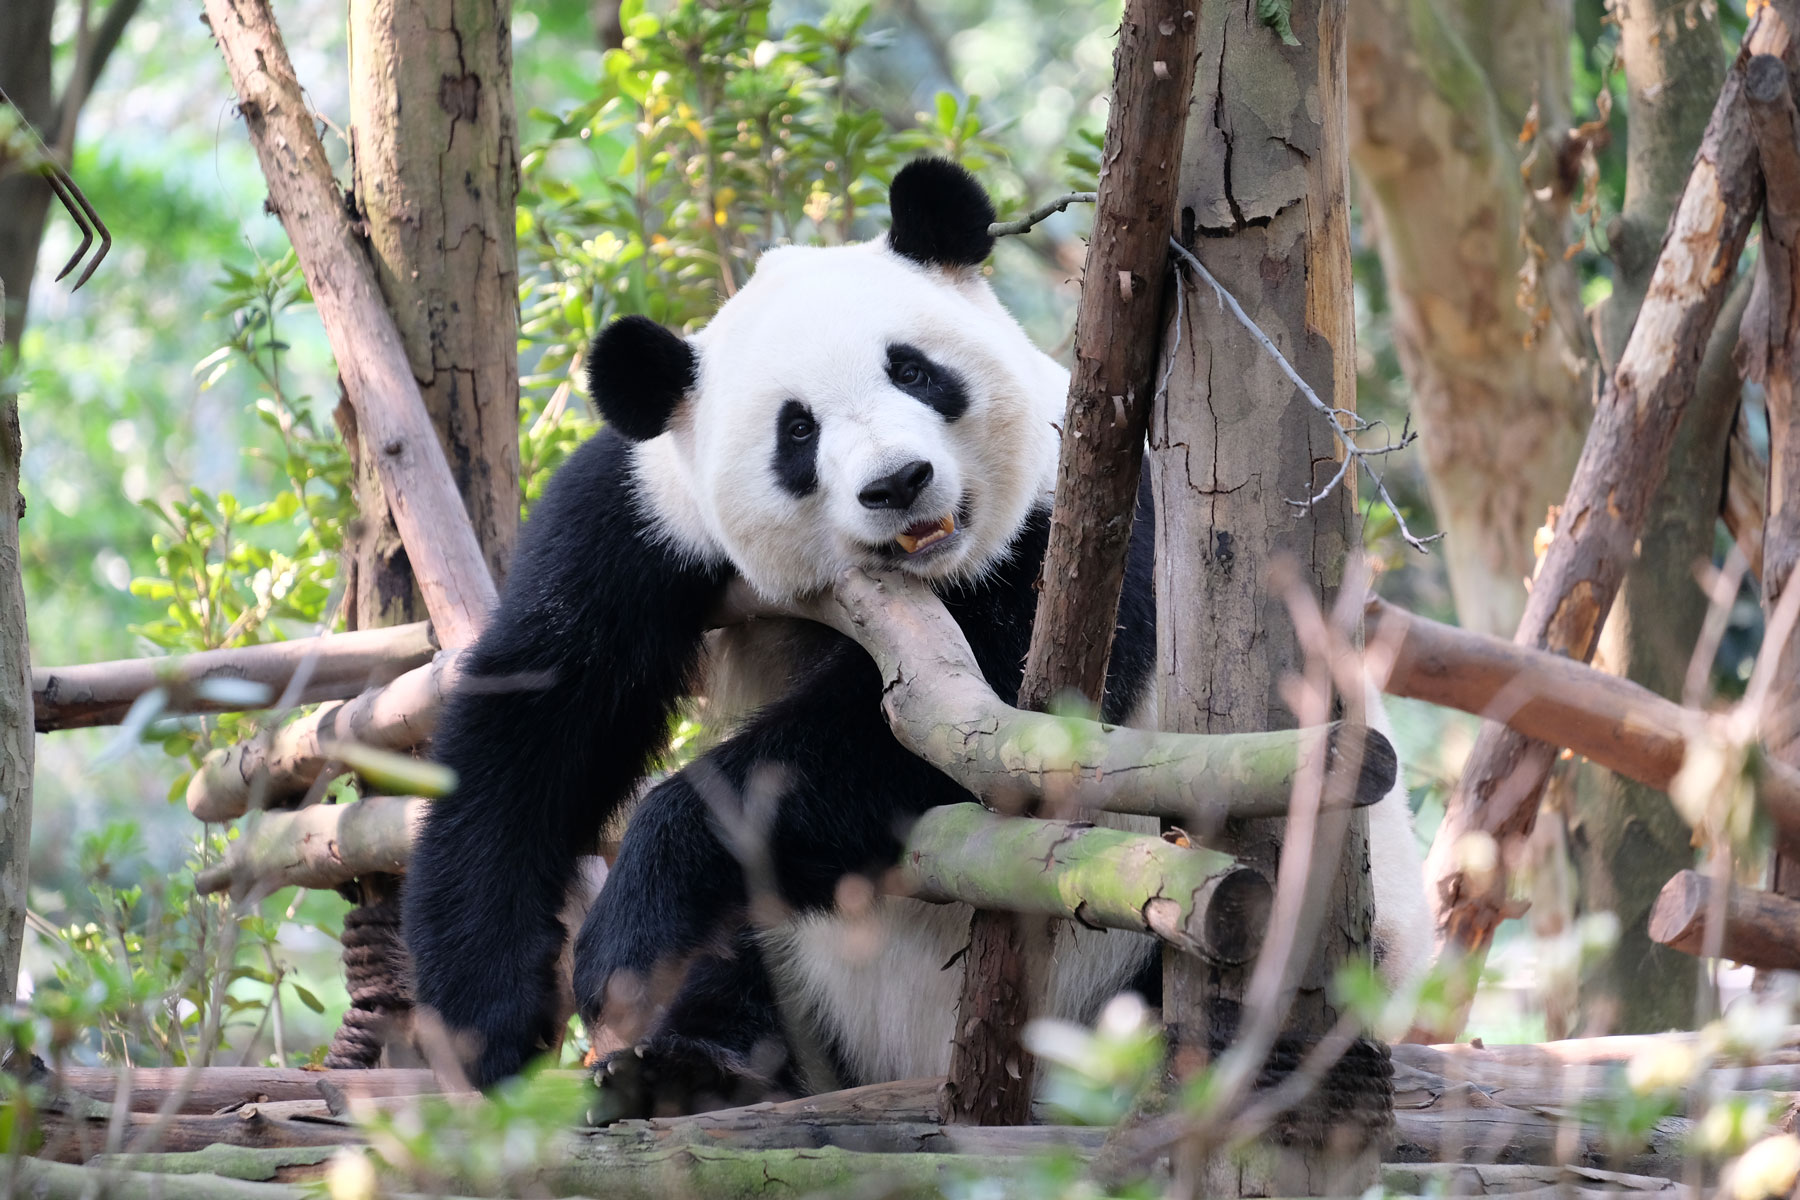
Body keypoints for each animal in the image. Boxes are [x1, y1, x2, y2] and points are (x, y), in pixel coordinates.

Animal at [405, 157, 1432, 1108]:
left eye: (914, 370)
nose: (898, 482)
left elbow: (959, 736)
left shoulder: (1088, 524)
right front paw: (483, 1027)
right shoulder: (643, 519)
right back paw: (693, 1070)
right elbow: (537, 721)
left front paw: (626, 931)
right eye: (796, 431)